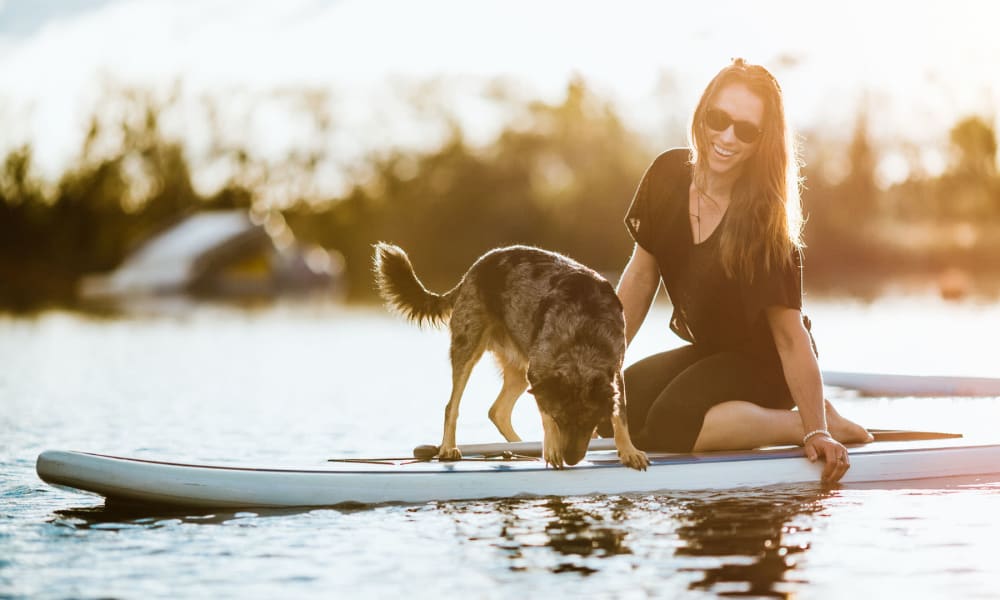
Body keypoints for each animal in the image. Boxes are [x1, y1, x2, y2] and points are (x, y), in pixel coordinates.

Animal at [374, 241, 648, 472]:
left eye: (588, 422)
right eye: (560, 419)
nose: (571, 459)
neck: (582, 334)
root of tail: (471, 272)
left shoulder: (615, 371)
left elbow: (621, 416)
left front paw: (629, 451)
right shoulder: (539, 374)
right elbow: (545, 413)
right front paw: (552, 448)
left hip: (518, 371)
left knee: (497, 411)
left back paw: (519, 449)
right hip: (469, 349)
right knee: (452, 406)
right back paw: (450, 448)